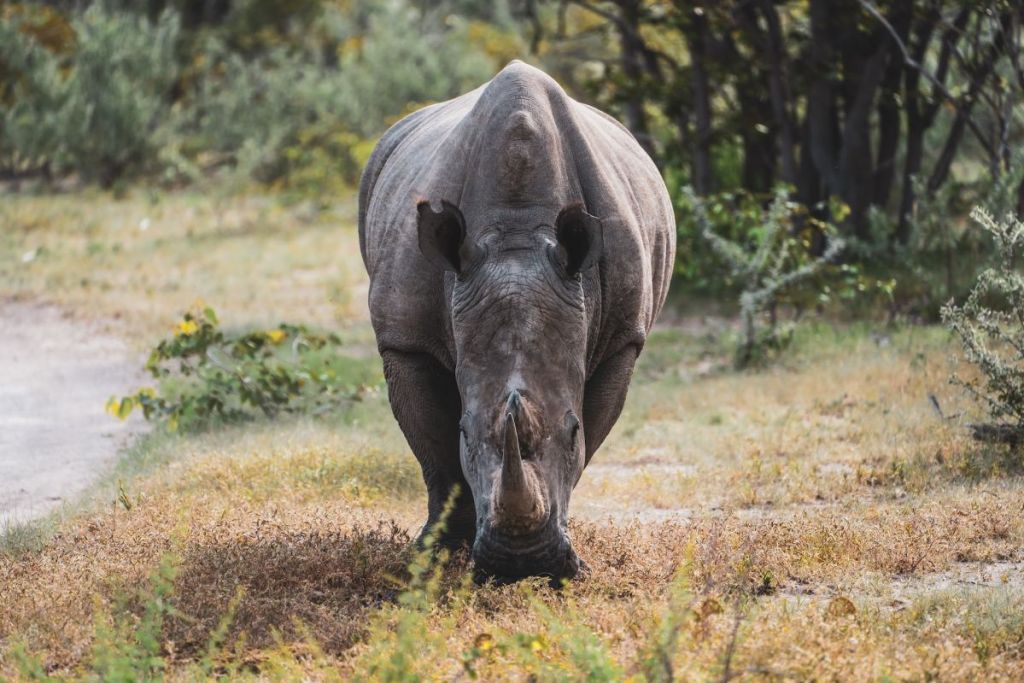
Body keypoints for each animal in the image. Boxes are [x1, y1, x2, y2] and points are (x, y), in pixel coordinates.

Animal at [358, 61, 675, 583]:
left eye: (572, 431)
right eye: (466, 432)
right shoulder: (406, 338)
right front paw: (435, 555)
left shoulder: (622, 339)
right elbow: (436, 453)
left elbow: (590, 439)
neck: (517, 234)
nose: (521, 564)